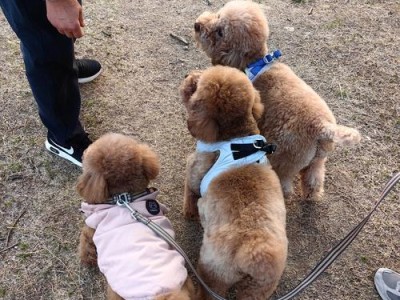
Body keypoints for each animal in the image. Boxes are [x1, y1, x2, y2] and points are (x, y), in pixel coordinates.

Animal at [77, 134, 195, 300]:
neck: (124, 197)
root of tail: (162, 292)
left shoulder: (92, 227)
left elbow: (85, 242)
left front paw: (86, 259)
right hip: (188, 283)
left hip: (115, 292)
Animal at [180, 66, 288, 300]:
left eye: (196, 85)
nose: (186, 76)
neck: (236, 135)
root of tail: (254, 253)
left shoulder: (196, 167)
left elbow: (190, 190)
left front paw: (189, 211)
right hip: (258, 288)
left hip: (213, 270)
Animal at [192, 1, 360, 202]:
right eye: (218, 15)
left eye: (220, 32)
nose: (197, 25)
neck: (254, 63)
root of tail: (322, 127)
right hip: (317, 160)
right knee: (314, 178)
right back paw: (312, 195)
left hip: (284, 160)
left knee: (285, 185)